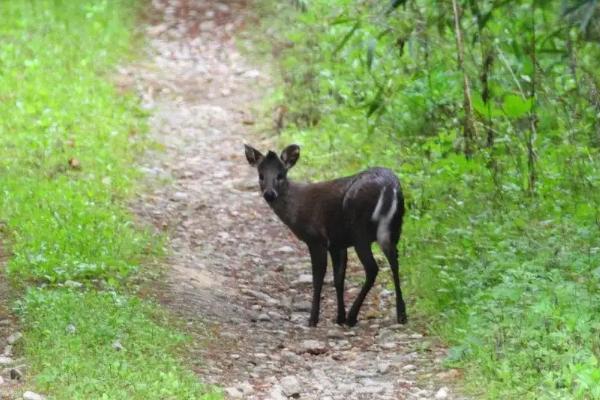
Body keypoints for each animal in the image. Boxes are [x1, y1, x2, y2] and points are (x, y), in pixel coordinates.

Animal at [244, 144, 408, 328]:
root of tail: (390, 187)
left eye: (280, 175)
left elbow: (318, 277)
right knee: (395, 263)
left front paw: (313, 319)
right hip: (393, 229)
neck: (296, 209)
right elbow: (338, 279)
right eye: (261, 175)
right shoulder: (337, 244)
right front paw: (339, 317)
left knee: (372, 268)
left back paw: (353, 316)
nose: (269, 194)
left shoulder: (316, 239)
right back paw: (401, 315)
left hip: (360, 231)